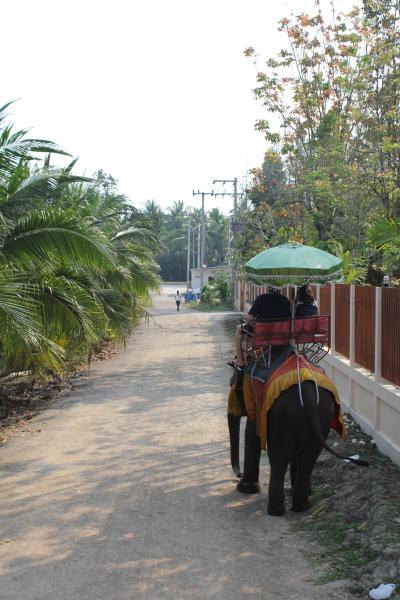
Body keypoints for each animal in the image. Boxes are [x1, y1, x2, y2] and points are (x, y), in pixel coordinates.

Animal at [227, 370, 368, 516]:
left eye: (232, 384)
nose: (238, 475)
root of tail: (308, 395)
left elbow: (252, 433)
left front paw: (245, 489)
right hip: (321, 416)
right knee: (308, 457)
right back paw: (302, 506)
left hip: (284, 417)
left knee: (279, 458)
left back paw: (275, 511)